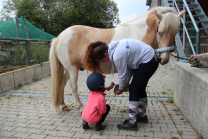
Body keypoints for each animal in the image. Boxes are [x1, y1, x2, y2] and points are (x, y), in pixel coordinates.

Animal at [49, 6, 185, 111]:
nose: (164, 59)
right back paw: (80, 106)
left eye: (175, 33)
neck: (137, 33)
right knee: (73, 86)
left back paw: (64, 105)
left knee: (62, 83)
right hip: (72, 69)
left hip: (70, 69)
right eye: (160, 32)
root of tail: (59, 37)